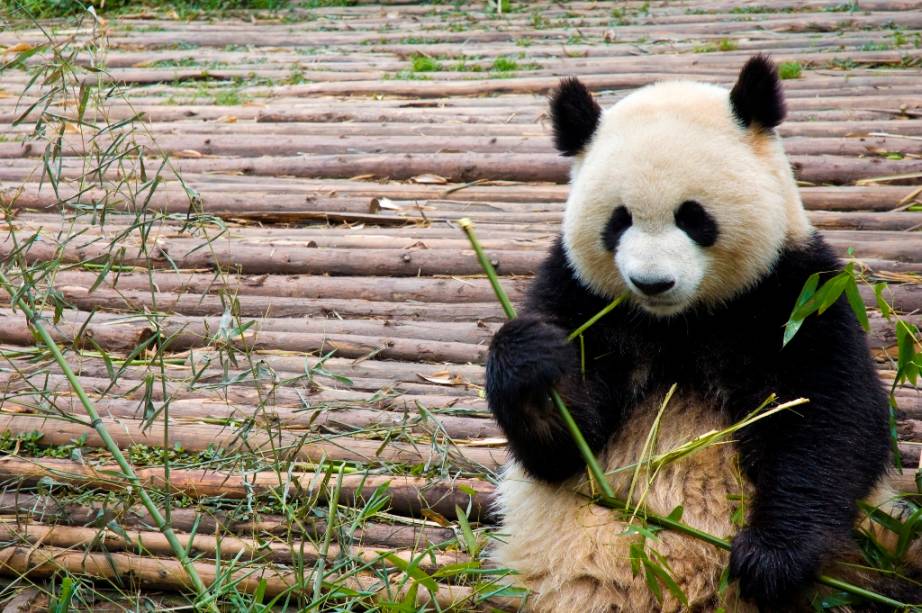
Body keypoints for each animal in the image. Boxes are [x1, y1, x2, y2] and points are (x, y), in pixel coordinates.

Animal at [485, 56, 918, 611]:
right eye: (618, 220)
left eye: (693, 217)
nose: (652, 282)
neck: (681, 321)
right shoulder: (580, 296)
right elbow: (563, 446)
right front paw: (531, 360)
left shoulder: (796, 293)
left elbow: (829, 416)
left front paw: (771, 560)